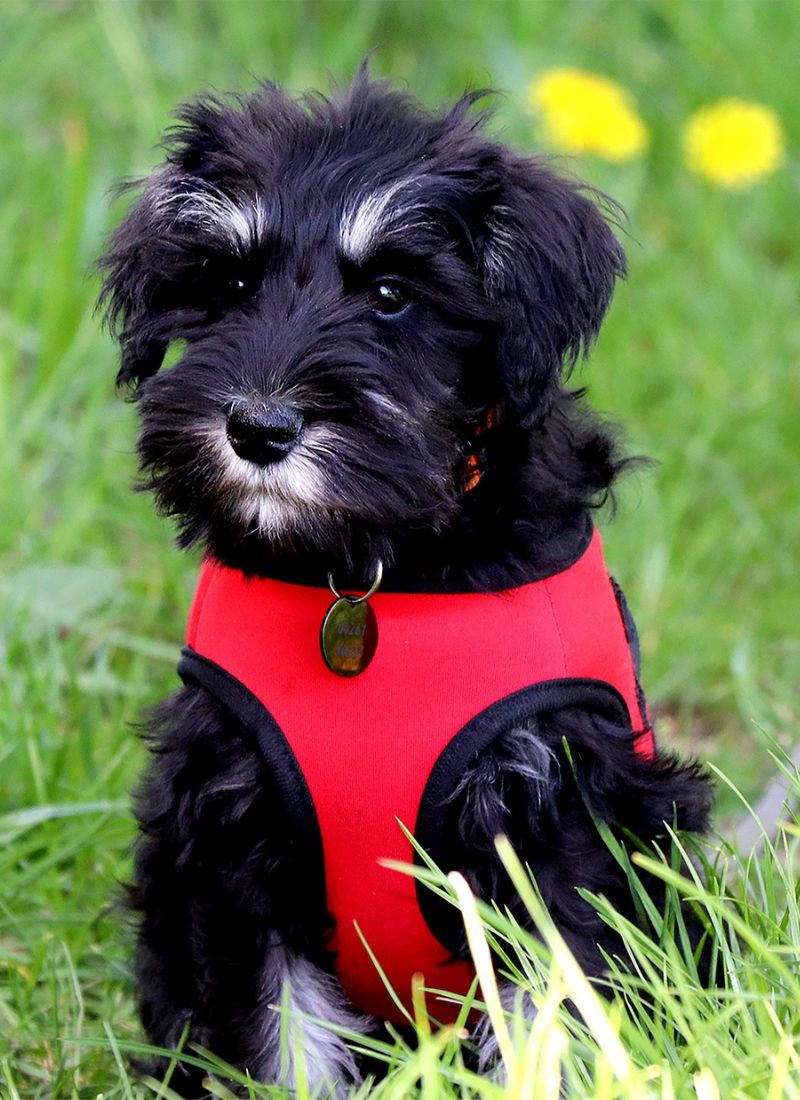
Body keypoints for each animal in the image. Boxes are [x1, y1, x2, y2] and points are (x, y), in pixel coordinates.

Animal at [100, 73, 713, 1095]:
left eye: (392, 295)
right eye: (231, 285)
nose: (259, 428)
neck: (371, 575)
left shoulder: (551, 830)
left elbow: (546, 1029)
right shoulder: (232, 839)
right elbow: (285, 1039)